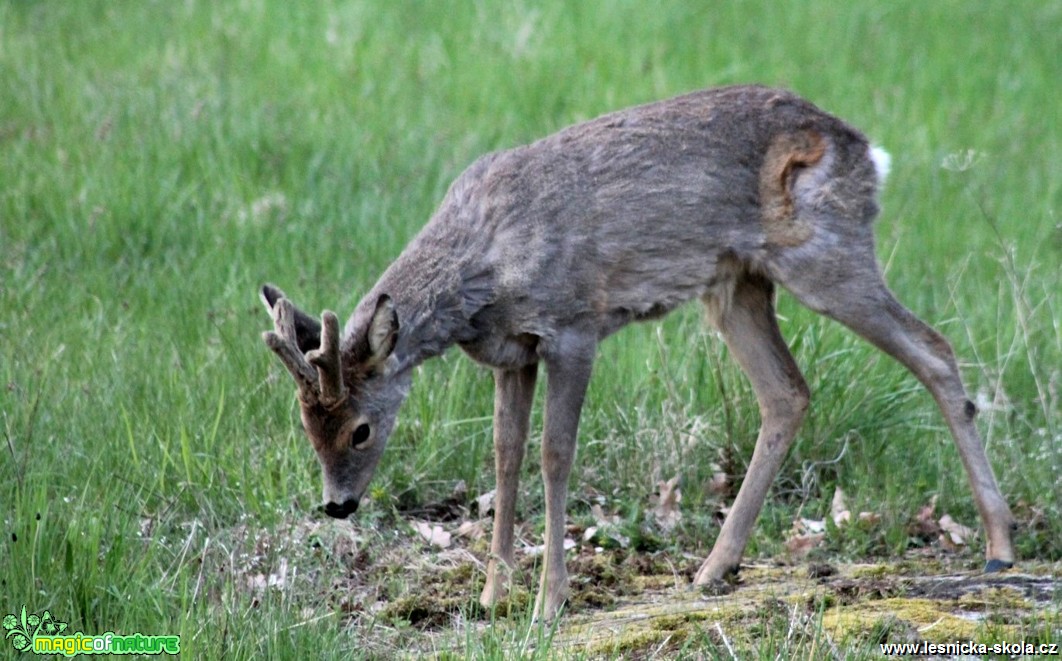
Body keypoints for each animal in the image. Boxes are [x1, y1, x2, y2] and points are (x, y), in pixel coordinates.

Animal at [261, 83, 1015, 620]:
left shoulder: (572, 326)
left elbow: (553, 455)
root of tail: (868, 152)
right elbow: (504, 457)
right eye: (305, 425)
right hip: (737, 285)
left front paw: (548, 601)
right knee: (787, 393)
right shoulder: (513, 352)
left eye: (361, 429)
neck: (484, 264)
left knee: (935, 349)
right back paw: (714, 569)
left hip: (825, 255)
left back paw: (999, 548)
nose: (336, 506)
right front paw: (491, 596)